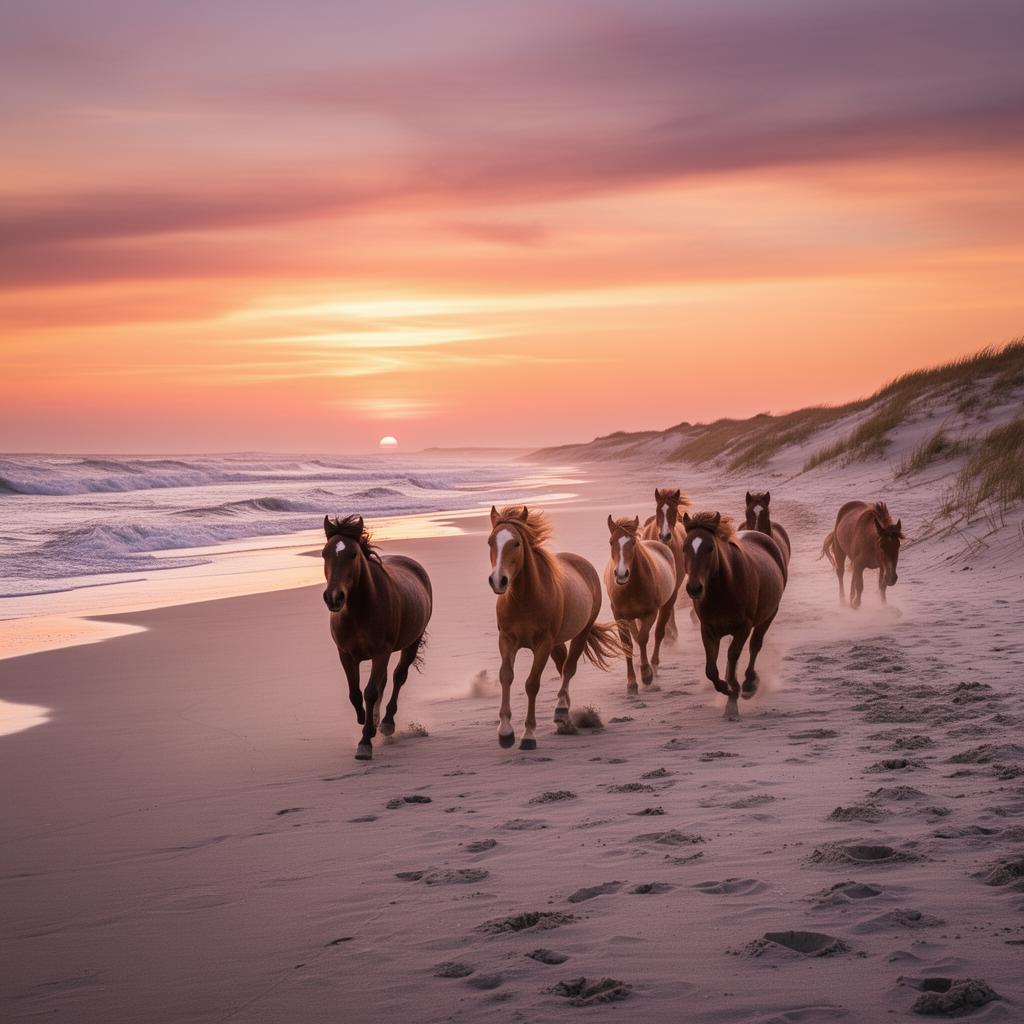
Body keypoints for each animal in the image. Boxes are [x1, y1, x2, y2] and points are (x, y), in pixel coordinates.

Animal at [322, 515, 433, 760]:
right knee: (383, 681)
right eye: (324, 553)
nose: (334, 597)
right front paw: (364, 721)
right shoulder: (346, 655)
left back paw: (387, 723)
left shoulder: (381, 652)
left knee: (398, 677)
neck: (359, 611)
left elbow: (370, 692)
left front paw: (365, 742)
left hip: (411, 643)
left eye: (353, 554)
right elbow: (355, 693)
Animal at [488, 505, 619, 750]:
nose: (498, 580)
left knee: (568, 669)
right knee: (562, 667)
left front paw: (528, 735)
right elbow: (506, 676)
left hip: (580, 634)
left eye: (516, 543)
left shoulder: (543, 644)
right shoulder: (507, 640)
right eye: (491, 541)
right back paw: (564, 716)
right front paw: (505, 732)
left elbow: (532, 684)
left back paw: (561, 711)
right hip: (557, 643)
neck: (524, 598)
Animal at [605, 515, 678, 694]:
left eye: (632, 542)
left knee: (658, 633)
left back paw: (654, 666)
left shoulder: (650, 613)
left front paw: (646, 675)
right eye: (611, 542)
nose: (621, 574)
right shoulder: (619, 616)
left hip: (667, 605)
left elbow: (643, 638)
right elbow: (628, 644)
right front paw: (631, 682)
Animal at [682, 511, 787, 720]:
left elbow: (734, 655)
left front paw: (735, 691)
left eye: (710, 547)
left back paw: (749, 684)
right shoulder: (708, 629)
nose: (694, 588)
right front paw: (727, 689)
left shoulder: (743, 627)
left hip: (769, 615)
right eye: (685, 547)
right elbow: (711, 670)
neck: (722, 590)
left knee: (755, 645)